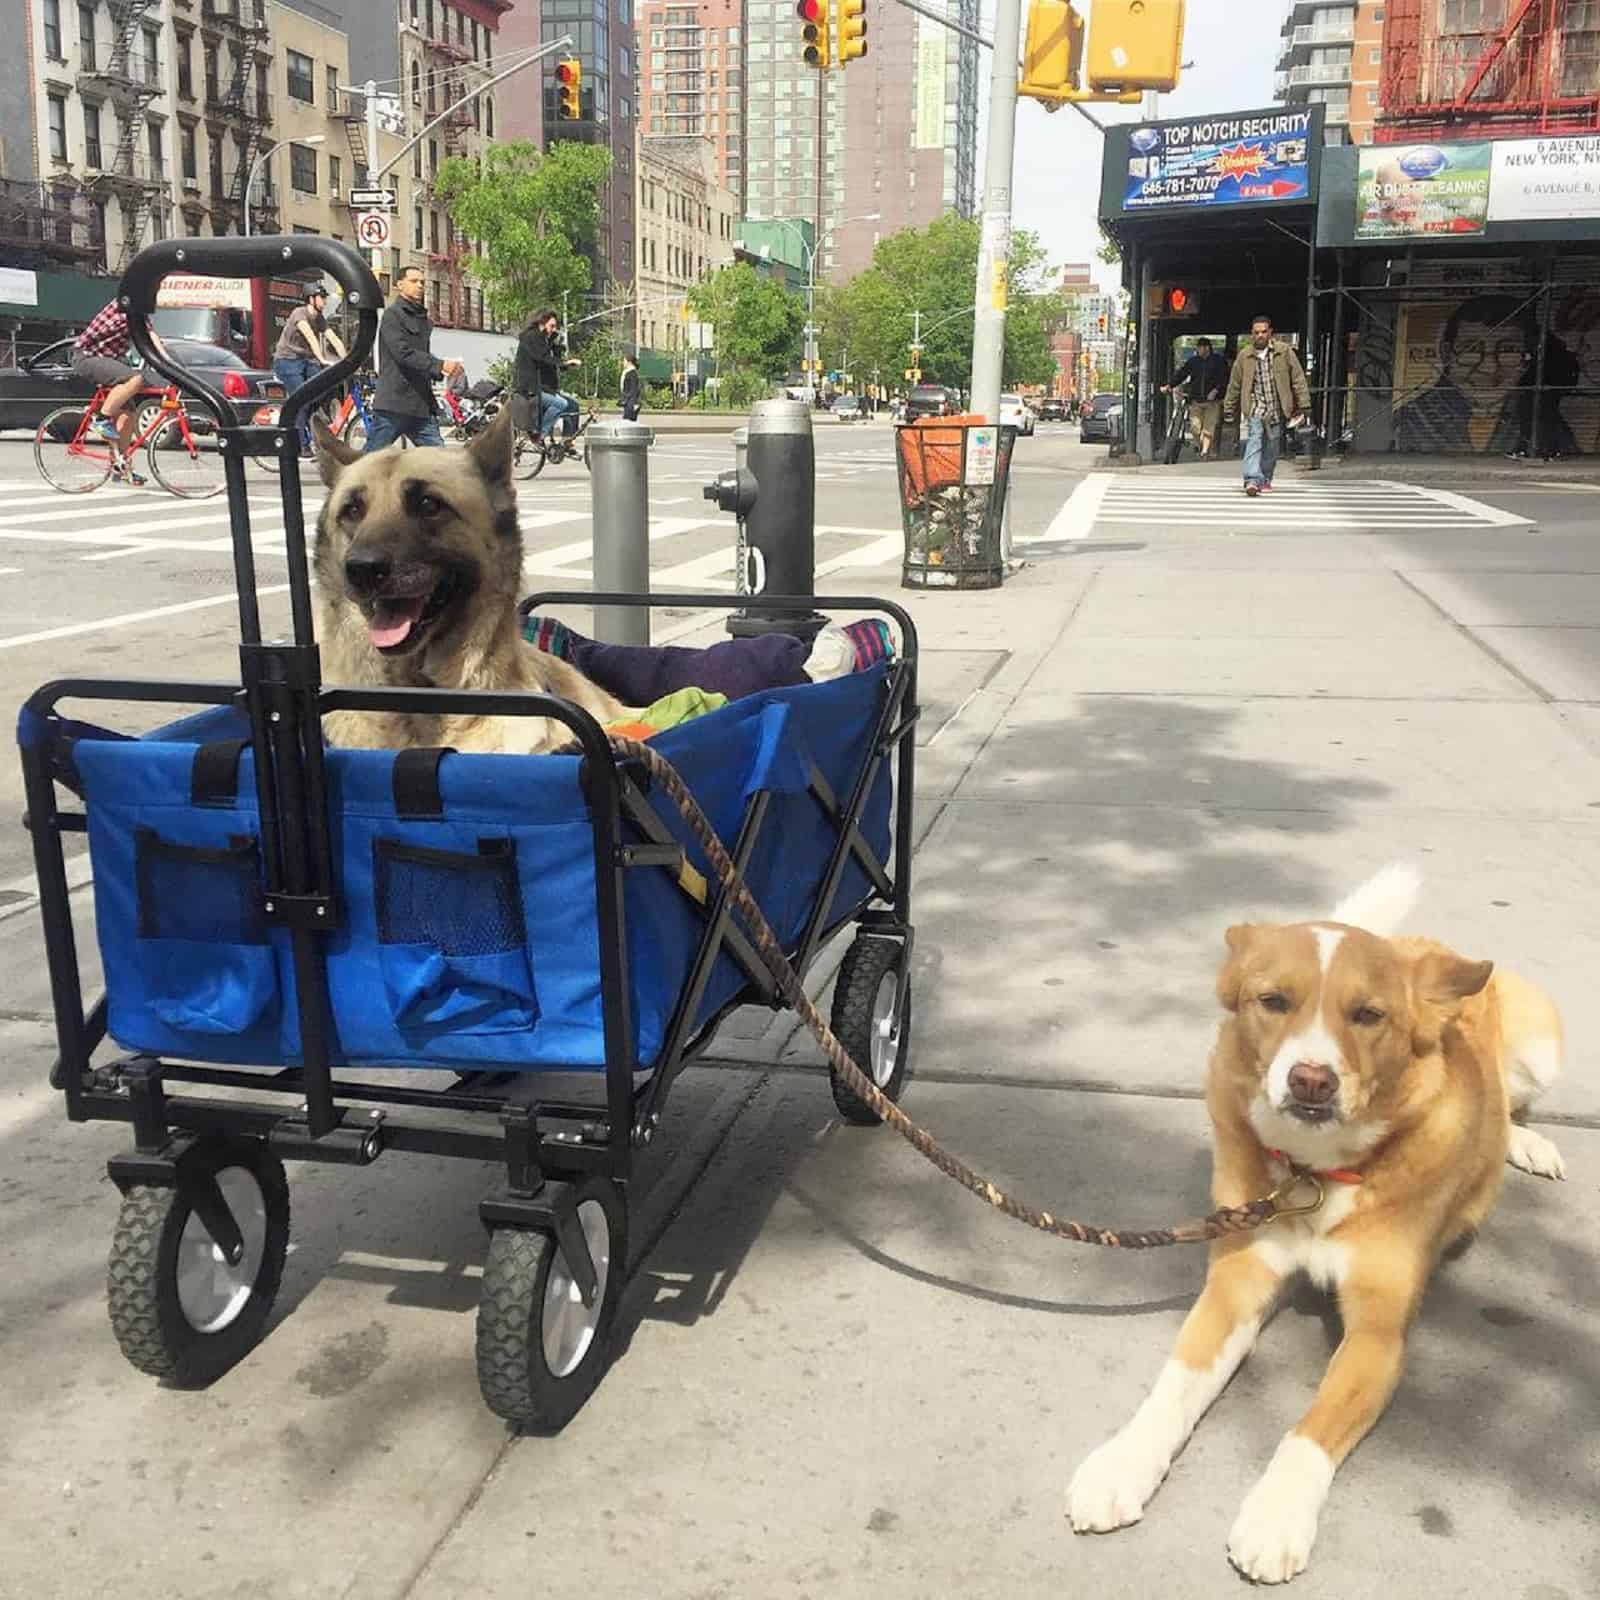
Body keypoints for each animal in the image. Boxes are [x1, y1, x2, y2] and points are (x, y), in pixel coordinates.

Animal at [1062, 876, 1561, 1587]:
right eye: (1273, 1001)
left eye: (1368, 1015)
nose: (1311, 1080)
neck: (1318, 1172)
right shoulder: (1236, 1284)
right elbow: (1176, 1382)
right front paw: (1122, 1463)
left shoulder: (1378, 1337)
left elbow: (1309, 1430)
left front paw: (1276, 1517)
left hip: (1542, 1048)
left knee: (1514, 1104)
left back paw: (1527, 1143)